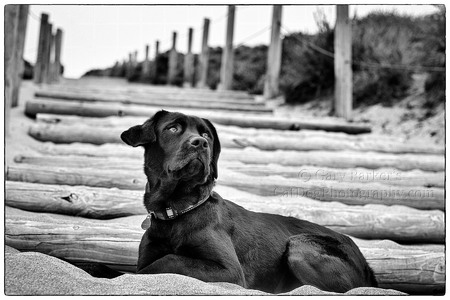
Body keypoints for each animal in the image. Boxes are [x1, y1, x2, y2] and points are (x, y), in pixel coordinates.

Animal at [121, 110, 378, 292]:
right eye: (172, 128)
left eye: (206, 135)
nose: (200, 143)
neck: (177, 210)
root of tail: (366, 265)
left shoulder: (229, 271)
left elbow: (166, 261)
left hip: (299, 245)